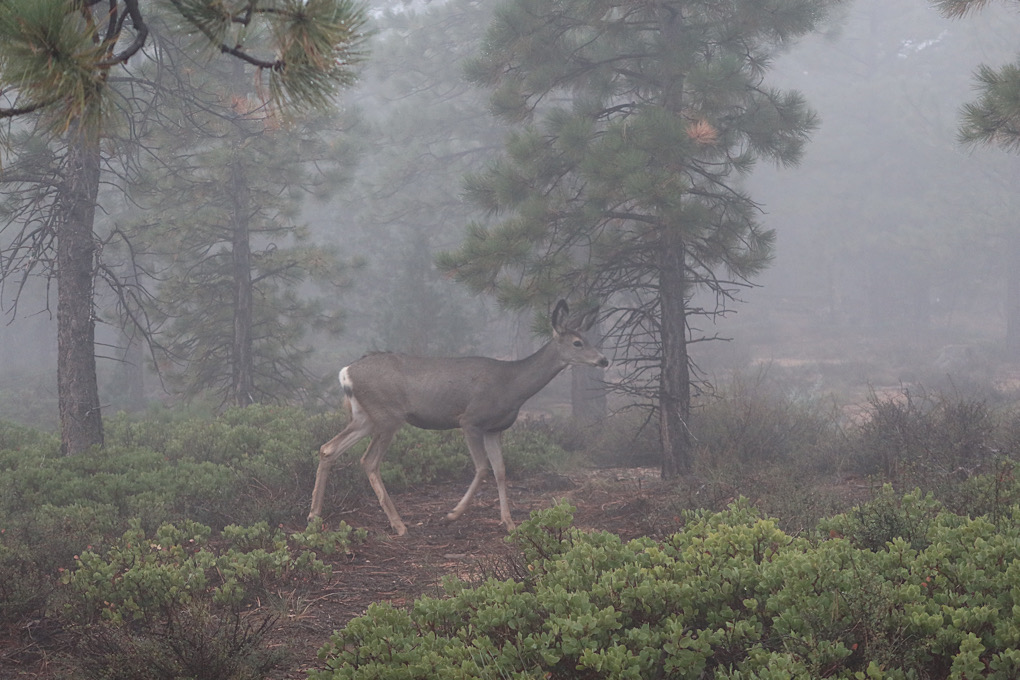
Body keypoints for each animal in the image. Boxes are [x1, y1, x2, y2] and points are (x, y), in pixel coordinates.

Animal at [306, 299, 607, 534]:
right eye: (577, 343)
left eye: (590, 340)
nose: (603, 360)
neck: (513, 385)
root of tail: (346, 372)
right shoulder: (470, 420)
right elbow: (483, 468)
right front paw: (452, 514)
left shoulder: (495, 429)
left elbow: (500, 470)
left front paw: (509, 523)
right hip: (387, 415)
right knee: (368, 461)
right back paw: (398, 524)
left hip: (364, 417)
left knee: (328, 448)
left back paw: (314, 516)